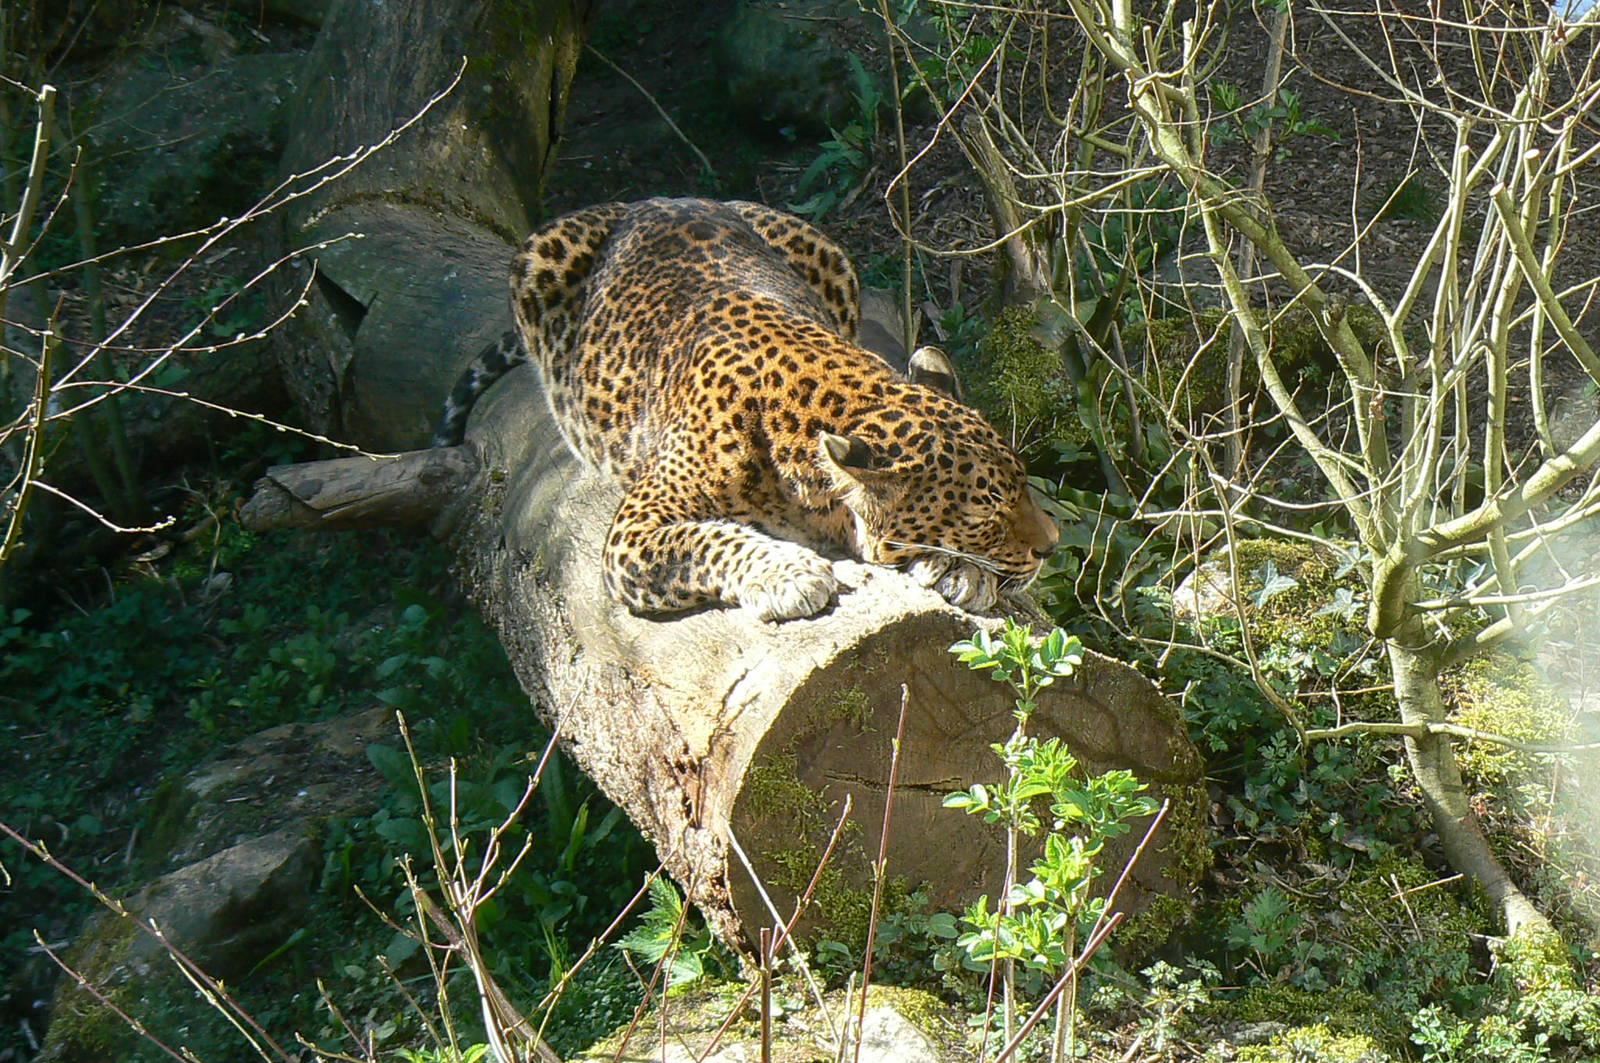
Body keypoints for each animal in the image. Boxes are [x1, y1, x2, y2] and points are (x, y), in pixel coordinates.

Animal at [434, 197, 1058, 622]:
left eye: (1023, 487)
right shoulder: (634, 530)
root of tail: (647, 200)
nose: (1051, 547)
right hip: (540, 253)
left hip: (825, 249)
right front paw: (791, 572)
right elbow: (703, 541)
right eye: (985, 511)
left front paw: (959, 567)